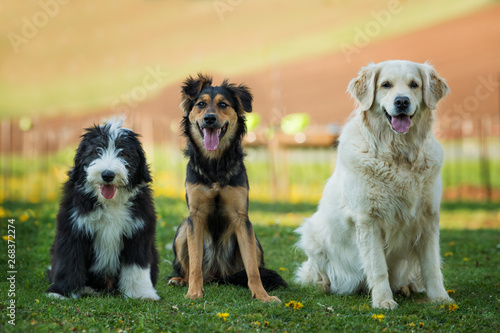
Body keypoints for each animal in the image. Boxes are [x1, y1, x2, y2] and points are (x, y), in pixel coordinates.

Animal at [46, 118, 158, 298]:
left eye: (123, 153)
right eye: (97, 151)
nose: (107, 174)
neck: (110, 202)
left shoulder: (138, 230)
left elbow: (137, 265)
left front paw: (141, 293)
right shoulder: (73, 226)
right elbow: (69, 260)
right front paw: (61, 292)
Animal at [168, 74, 286, 302]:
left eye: (223, 105)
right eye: (201, 104)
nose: (209, 119)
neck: (215, 163)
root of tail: (217, 275)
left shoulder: (242, 218)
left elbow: (253, 268)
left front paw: (262, 296)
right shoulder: (195, 216)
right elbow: (195, 264)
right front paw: (194, 293)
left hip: (254, 241)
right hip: (183, 229)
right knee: (190, 266)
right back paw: (181, 280)